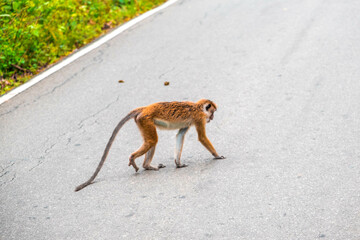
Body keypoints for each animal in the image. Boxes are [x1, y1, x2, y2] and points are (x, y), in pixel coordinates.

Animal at [74, 99, 224, 191]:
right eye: (212, 112)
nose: (212, 118)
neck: (198, 107)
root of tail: (145, 108)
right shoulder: (199, 118)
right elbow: (202, 138)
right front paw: (217, 155)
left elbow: (180, 136)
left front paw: (178, 163)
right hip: (145, 120)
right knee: (152, 141)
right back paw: (134, 159)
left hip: (141, 121)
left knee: (152, 141)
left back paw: (146, 166)